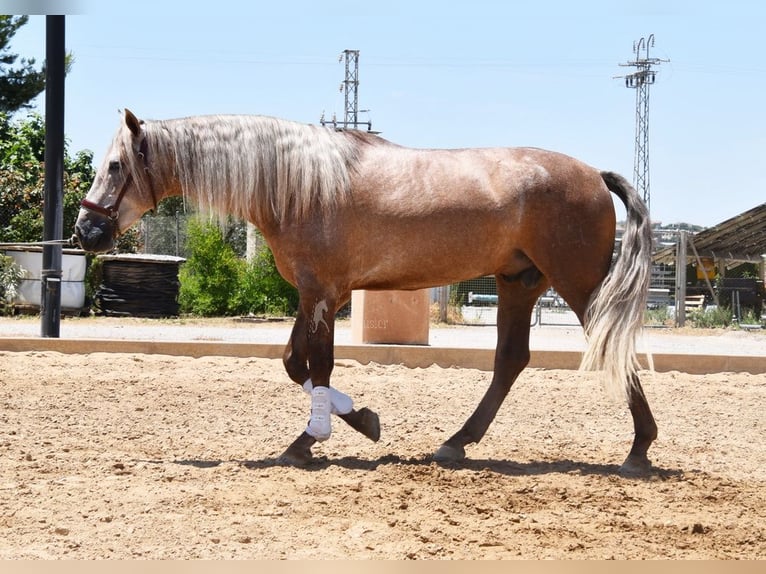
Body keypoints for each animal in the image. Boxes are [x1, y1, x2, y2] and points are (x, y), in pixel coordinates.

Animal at [73, 109, 660, 476]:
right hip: (517, 284)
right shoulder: (317, 295)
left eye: (116, 166)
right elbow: (296, 365)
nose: (86, 231)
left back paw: (638, 451)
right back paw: (456, 443)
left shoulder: (322, 295)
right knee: (510, 361)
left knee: (610, 349)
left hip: (578, 285)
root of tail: (594, 174)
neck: (300, 185)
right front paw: (359, 420)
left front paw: (308, 442)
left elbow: (318, 365)